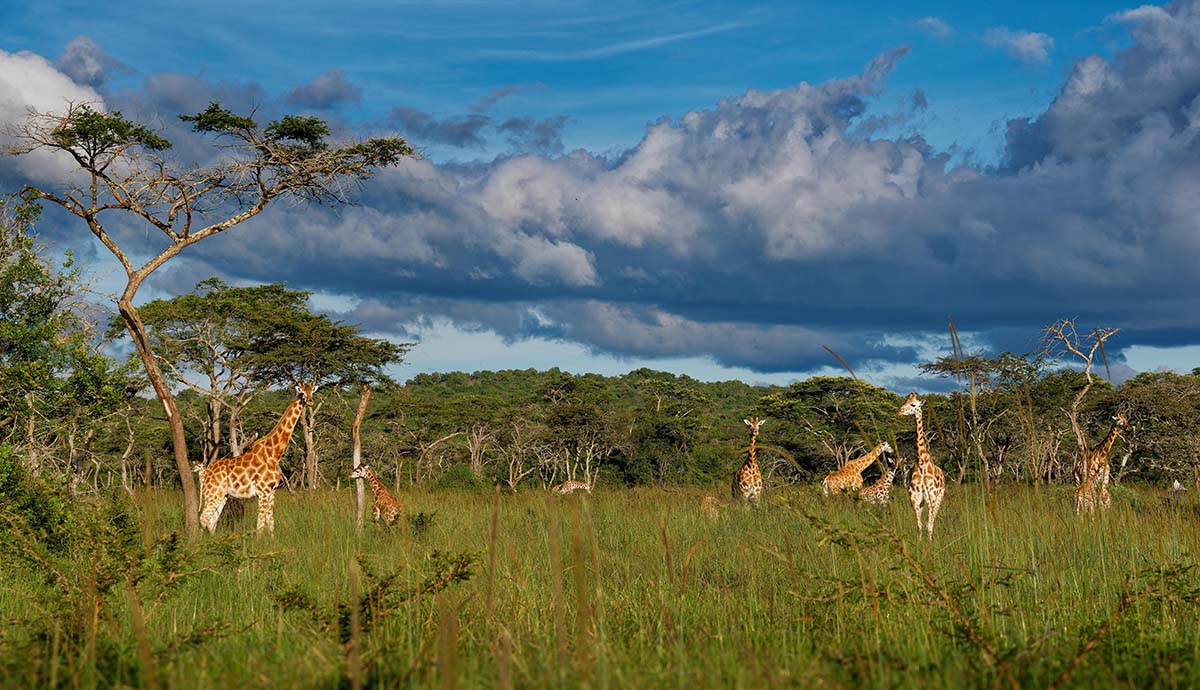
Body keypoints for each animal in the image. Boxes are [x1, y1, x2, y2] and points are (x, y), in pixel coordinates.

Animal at [198, 382, 316, 533]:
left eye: (312, 391)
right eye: (302, 392)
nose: (311, 401)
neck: (274, 454)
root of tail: (204, 472)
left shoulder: (272, 492)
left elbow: (270, 523)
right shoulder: (263, 491)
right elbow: (260, 525)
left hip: (222, 494)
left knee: (212, 521)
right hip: (212, 492)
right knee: (203, 518)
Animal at [897, 393, 945, 538]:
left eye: (913, 404)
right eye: (905, 401)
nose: (899, 412)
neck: (922, 462)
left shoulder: (932, 496)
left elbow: (929, 525)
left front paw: (929, 543)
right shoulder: (914, 496)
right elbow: (919, 525)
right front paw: (919, 543)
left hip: (938, 498)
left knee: (933, 520)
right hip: (923, 500)